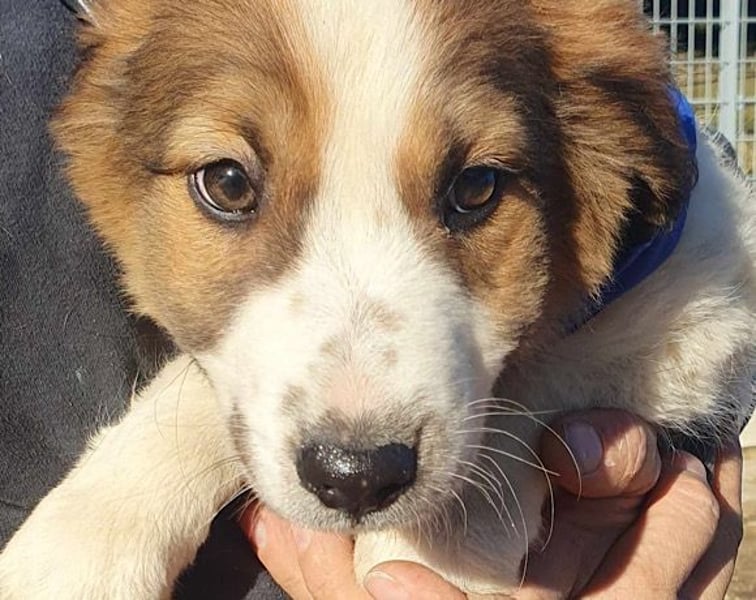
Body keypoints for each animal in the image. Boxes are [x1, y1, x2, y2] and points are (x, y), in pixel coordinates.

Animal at [1, 0, 755, 597]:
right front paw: (84, 544)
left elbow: (532, 369)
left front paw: (442, 549)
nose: (358, 477)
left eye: (476, 187)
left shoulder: (709, 290)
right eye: (227, 183)